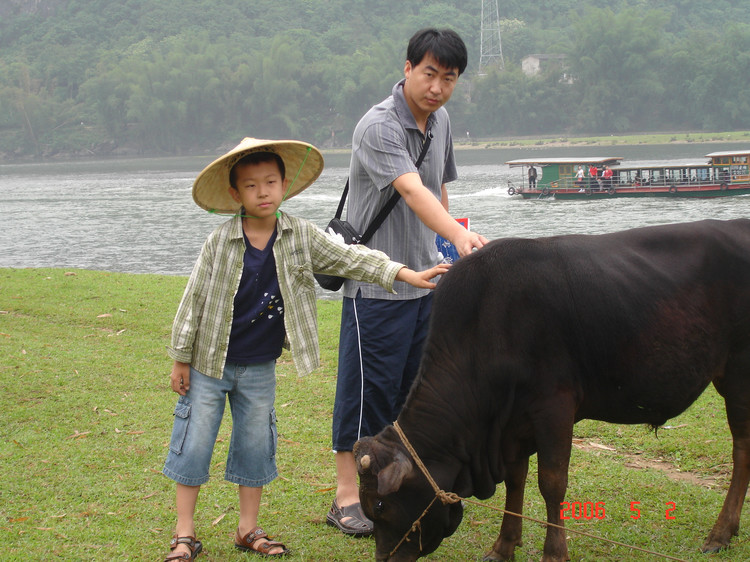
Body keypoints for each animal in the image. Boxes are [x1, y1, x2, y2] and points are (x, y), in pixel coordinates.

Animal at [356, 217, 750, 556]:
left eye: (380, 504)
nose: (383, 558)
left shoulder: (554, 406)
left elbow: (552, 483)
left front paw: (554, 552)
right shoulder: (512, 424)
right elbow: (516, 481)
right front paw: (504, 546)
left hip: (738, 375)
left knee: (742, 452)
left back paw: (720, 533)